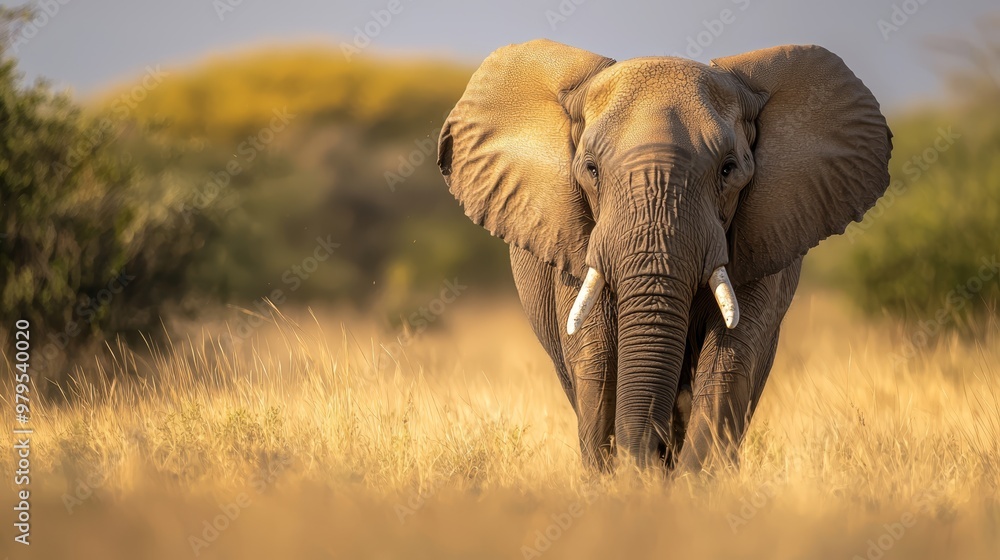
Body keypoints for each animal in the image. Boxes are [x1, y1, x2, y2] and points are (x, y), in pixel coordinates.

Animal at [436, 39, 892, 472]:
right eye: (591, 169)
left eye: (728, 169)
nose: (651, 454)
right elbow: (598, 358)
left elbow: (729, 359)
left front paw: (691, 483)